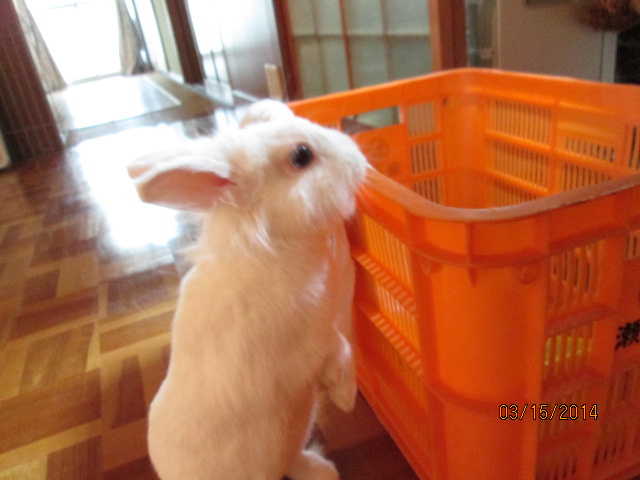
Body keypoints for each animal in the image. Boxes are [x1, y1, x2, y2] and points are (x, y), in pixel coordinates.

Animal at [127, 99, 368, 480]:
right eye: (301, 156)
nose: (357, 155)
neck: (276, 246)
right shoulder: (311, 344)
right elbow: (341, 349)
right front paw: (346, 397)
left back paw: (325, 470)